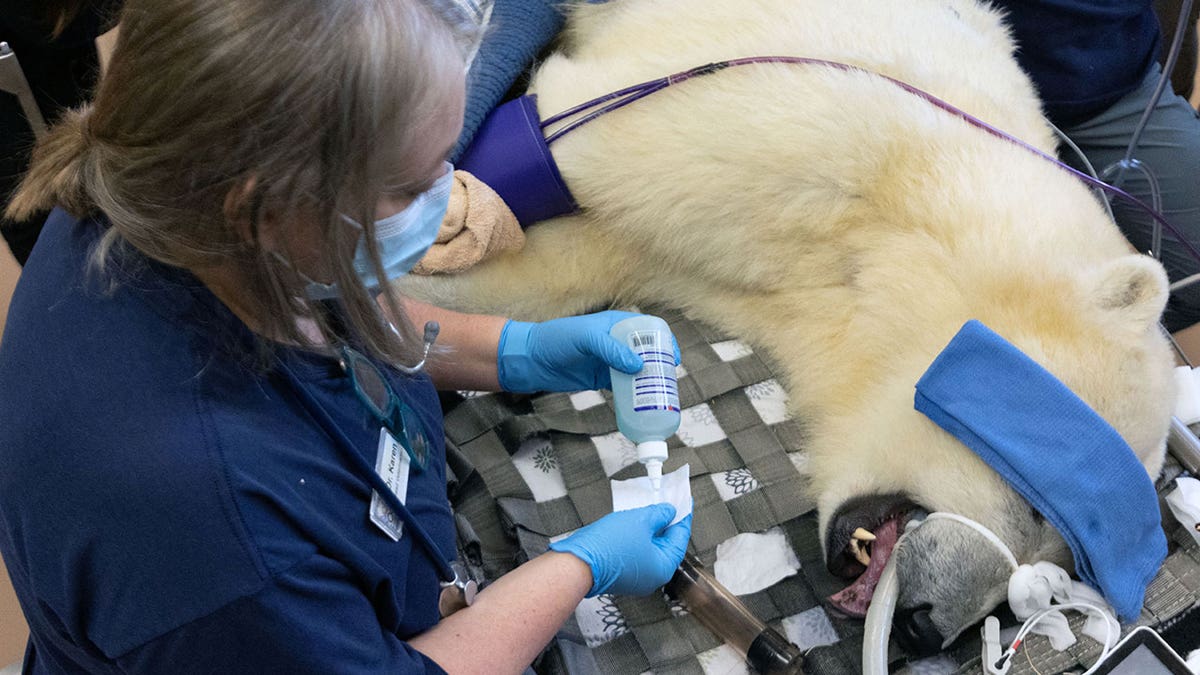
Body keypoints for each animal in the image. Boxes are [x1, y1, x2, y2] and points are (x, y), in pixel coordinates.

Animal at [400, 0, 1171, 653]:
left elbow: (576, 263)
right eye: (1041, 509)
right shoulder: (807, 117)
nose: (927, 626)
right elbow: (584, 144)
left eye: (1057, 578)